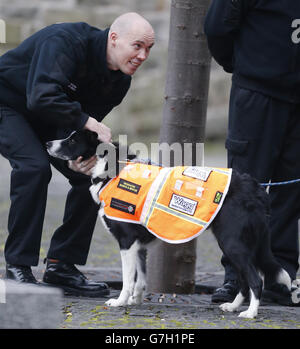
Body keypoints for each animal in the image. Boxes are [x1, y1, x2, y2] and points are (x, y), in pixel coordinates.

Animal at [47, 129, 292, 316]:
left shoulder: (126, 242)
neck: (110, 166)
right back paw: (232, 306)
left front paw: (120, 301)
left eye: (72, 140)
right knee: (243, 279)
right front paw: (135, 300)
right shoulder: (139, 244)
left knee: (255, 279)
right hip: (235, 245)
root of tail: (256, 189)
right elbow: (140, 278)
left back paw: (250, 313)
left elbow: (127, 279)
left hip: (233, 243)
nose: (48, 142)